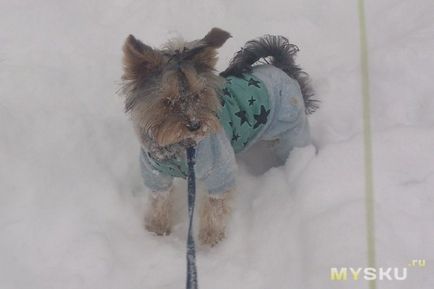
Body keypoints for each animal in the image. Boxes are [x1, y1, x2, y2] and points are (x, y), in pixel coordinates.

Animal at [120, 27, 318, 245]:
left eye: (198, 95)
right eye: (167, 101)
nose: (195, 125)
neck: (180, 146)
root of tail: (282, 68)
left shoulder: (219, 170)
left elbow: (215, 206)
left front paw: (210, 240)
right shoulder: (155, 173)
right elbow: (159, 200)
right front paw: (157, 229)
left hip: (290, 130)